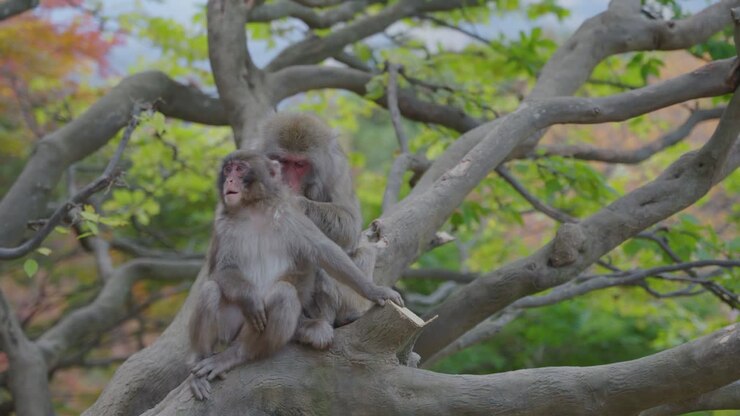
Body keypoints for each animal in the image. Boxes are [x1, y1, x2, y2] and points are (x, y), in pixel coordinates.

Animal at [188, 150, 403, 400]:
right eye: (227, 169)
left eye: (239, 169)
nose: (229, 180)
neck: (253, 209)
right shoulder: (223, 225)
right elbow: (221, 270)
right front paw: (250, 298)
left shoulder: (290, 216)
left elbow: (324, 251)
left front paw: (375, 291)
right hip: (230, 327)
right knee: (211, 290)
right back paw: (202, 362)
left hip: (252, 330)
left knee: (284, 293)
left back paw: (238, 355)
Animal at [259, 113, 380, 350]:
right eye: (282, 161)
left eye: (299, 164)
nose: (287, 182)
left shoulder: (337, 169)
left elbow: (350, 224)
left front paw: (296, 203)